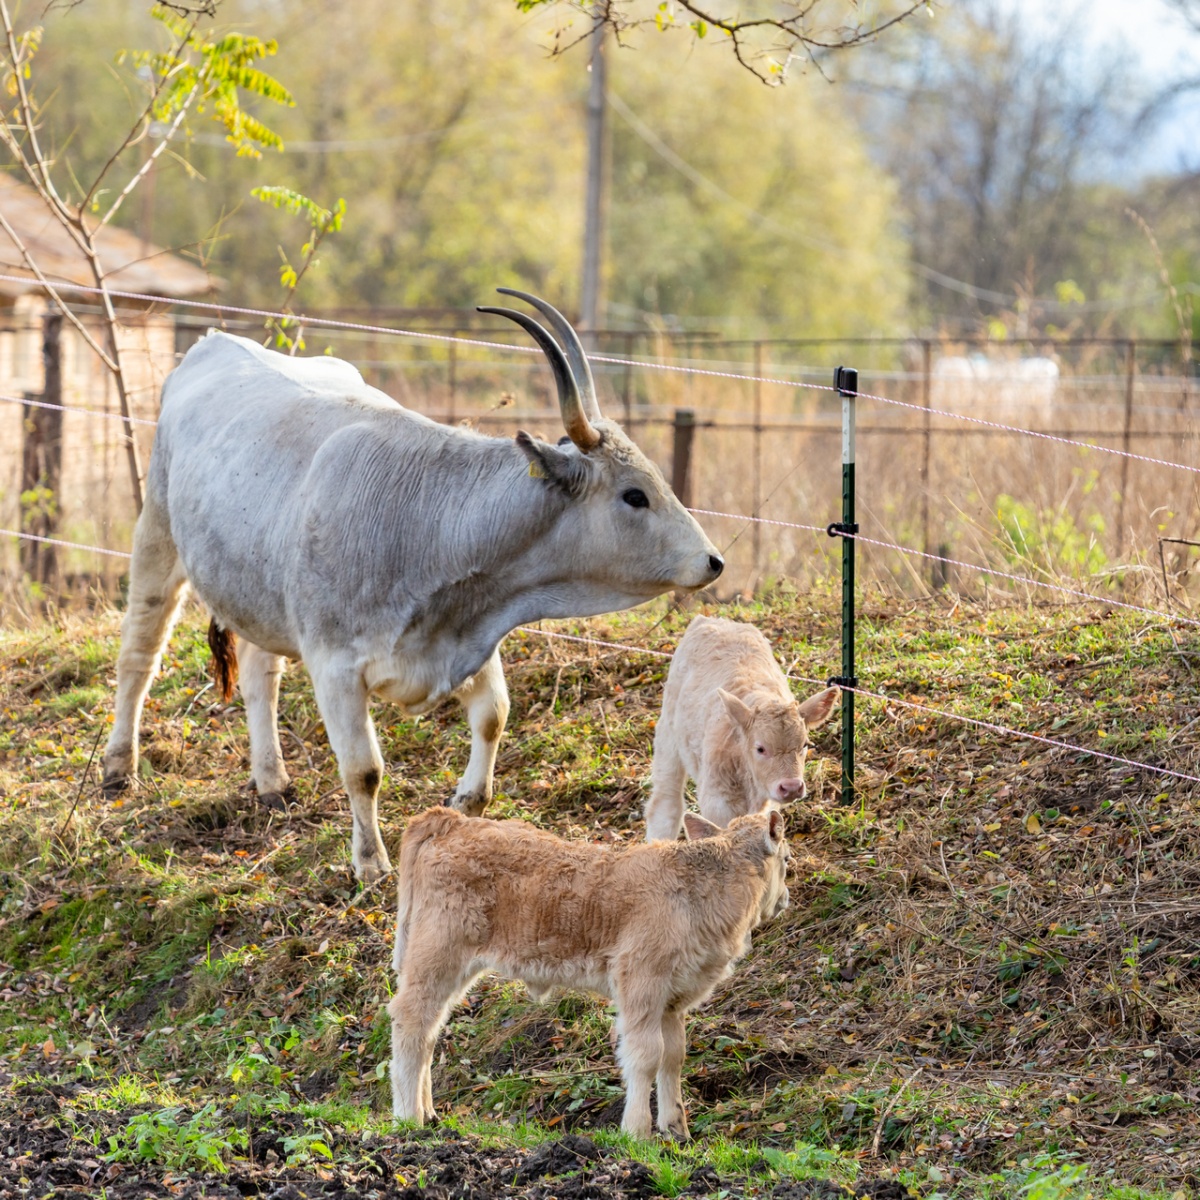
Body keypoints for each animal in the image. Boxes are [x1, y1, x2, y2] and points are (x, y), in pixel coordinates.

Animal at [103, 292, 715, 883]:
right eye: (634, 495)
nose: (713, 561)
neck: (429, 521)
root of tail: (212, 341)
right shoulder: (335, 665)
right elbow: (364, 769)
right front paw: (371, 863)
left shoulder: (467, 642)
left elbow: (494, 714)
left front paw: (468, 802)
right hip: (156, 539)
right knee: (139, 656)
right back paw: (117, 768)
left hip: (258, 592)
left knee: (260, 676)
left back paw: (272, 780)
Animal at [388, 801, 792, 1137]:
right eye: (787, 859)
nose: (786, 897)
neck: (700, 892)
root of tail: (452, 821)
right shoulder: (640, 982)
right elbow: (645, 1055)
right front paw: (637, 1133)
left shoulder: (673, 998)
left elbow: (673, 1057)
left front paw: (677, 1131)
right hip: (438, 953)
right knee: (411, 1019)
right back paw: (408, 1118)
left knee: (430, 1030)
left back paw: (429, 1113)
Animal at [648, 619, 835, 844]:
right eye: (760, 748)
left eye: (805, 745)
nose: (791, 787)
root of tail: (712, 620)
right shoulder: (716, 800)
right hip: (668, 734)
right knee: (666, 800)